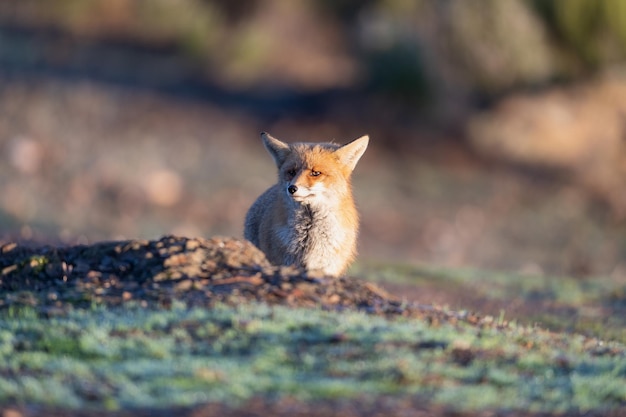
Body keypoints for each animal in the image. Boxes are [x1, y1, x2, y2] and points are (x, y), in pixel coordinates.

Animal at [243, 133, 370, 276]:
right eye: (291, 172)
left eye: (316, 173)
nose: (292, 188)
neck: (309, 233)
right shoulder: (286, 262)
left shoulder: (326, 267)